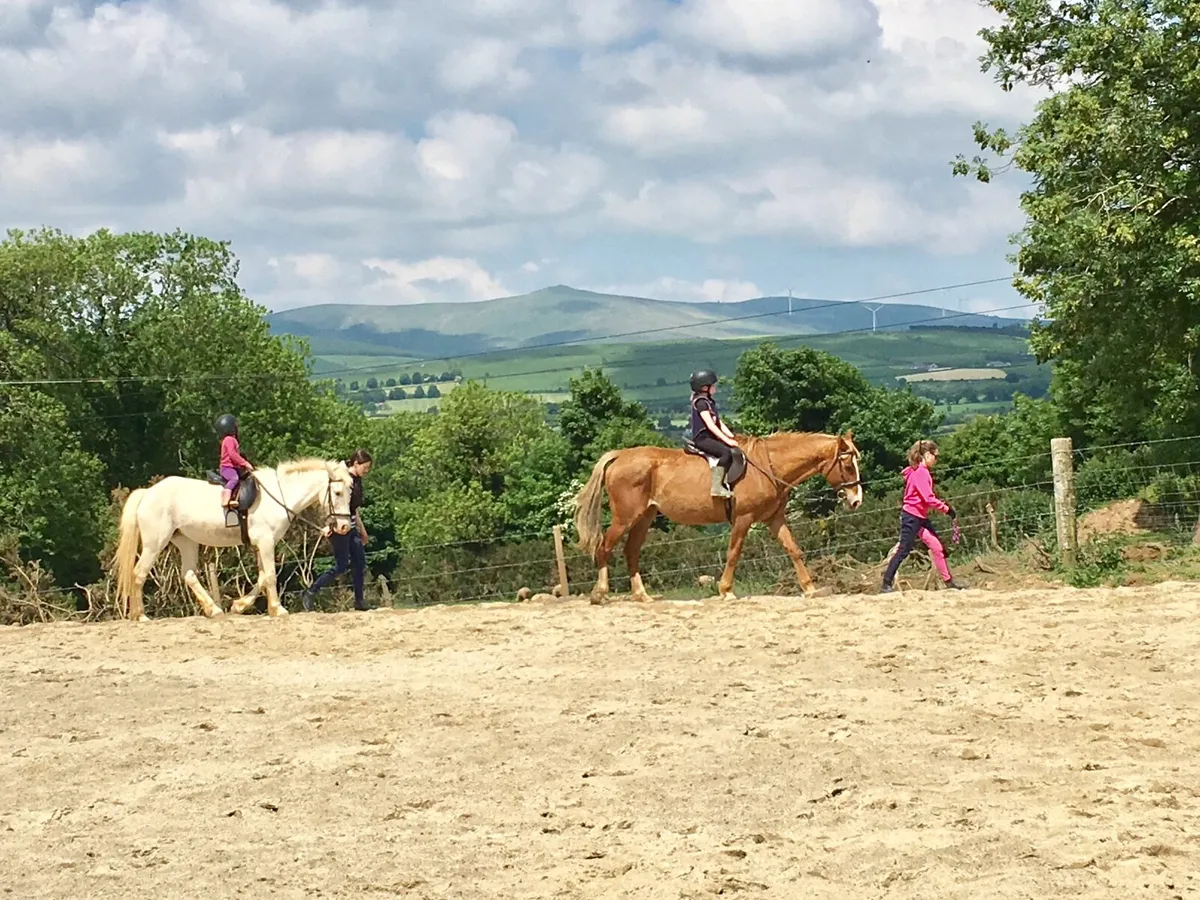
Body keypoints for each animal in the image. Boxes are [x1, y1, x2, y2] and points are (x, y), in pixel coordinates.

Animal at [114, 458, 356, 621]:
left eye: (350, 492)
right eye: (337, 493)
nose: (344, 527)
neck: (279, 496)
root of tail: (147, 493)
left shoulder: (261, 544)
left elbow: (261, 577)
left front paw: (239, 606)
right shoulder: (266, 542)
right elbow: (270, 575)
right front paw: (278, 609)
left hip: (186, 541)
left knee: (189, 575)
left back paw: (214, 610)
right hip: (155, 543)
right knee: (139, 573)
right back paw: (140, 616)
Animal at [573, 430, 863, 603]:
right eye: (848, 465)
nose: (856, 500)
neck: (768, 466)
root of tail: (620, 455)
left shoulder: (774, 519)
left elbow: (794, 550)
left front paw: (810, 588)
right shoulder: (743, 518)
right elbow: (734, 553)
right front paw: (726, 590)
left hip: (644, 517)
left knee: (631, 551)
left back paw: (642, 595)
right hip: (625, 516)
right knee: (604, 547)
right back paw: (600, 593)